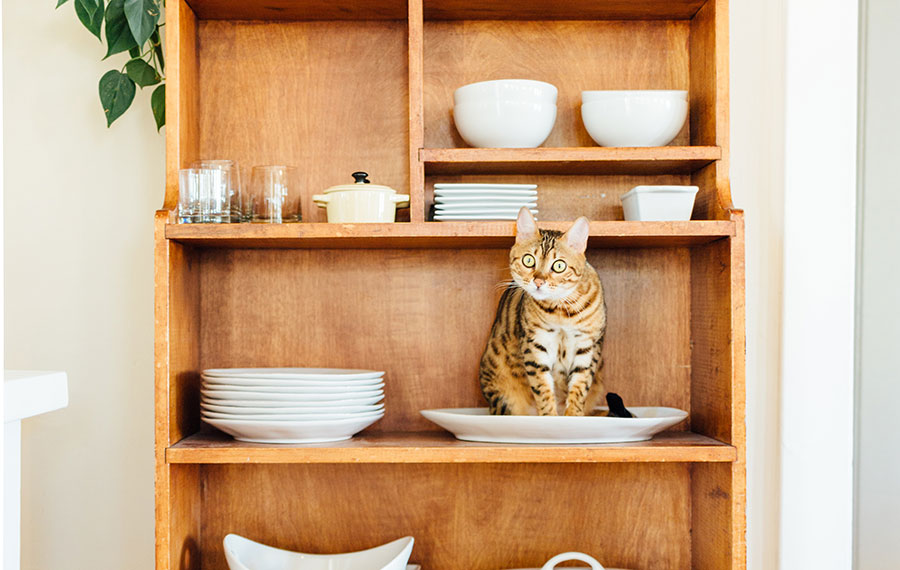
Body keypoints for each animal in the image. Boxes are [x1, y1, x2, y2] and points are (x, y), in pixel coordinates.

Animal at [478, 206, 604, 414]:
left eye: (559, 265)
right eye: (529, 260)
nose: (538, 281)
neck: (562, 313)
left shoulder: (588, 346)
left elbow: (580, 389)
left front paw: (574, 416)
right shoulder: (535, 345)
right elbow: (543, 390)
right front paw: (549, 416)